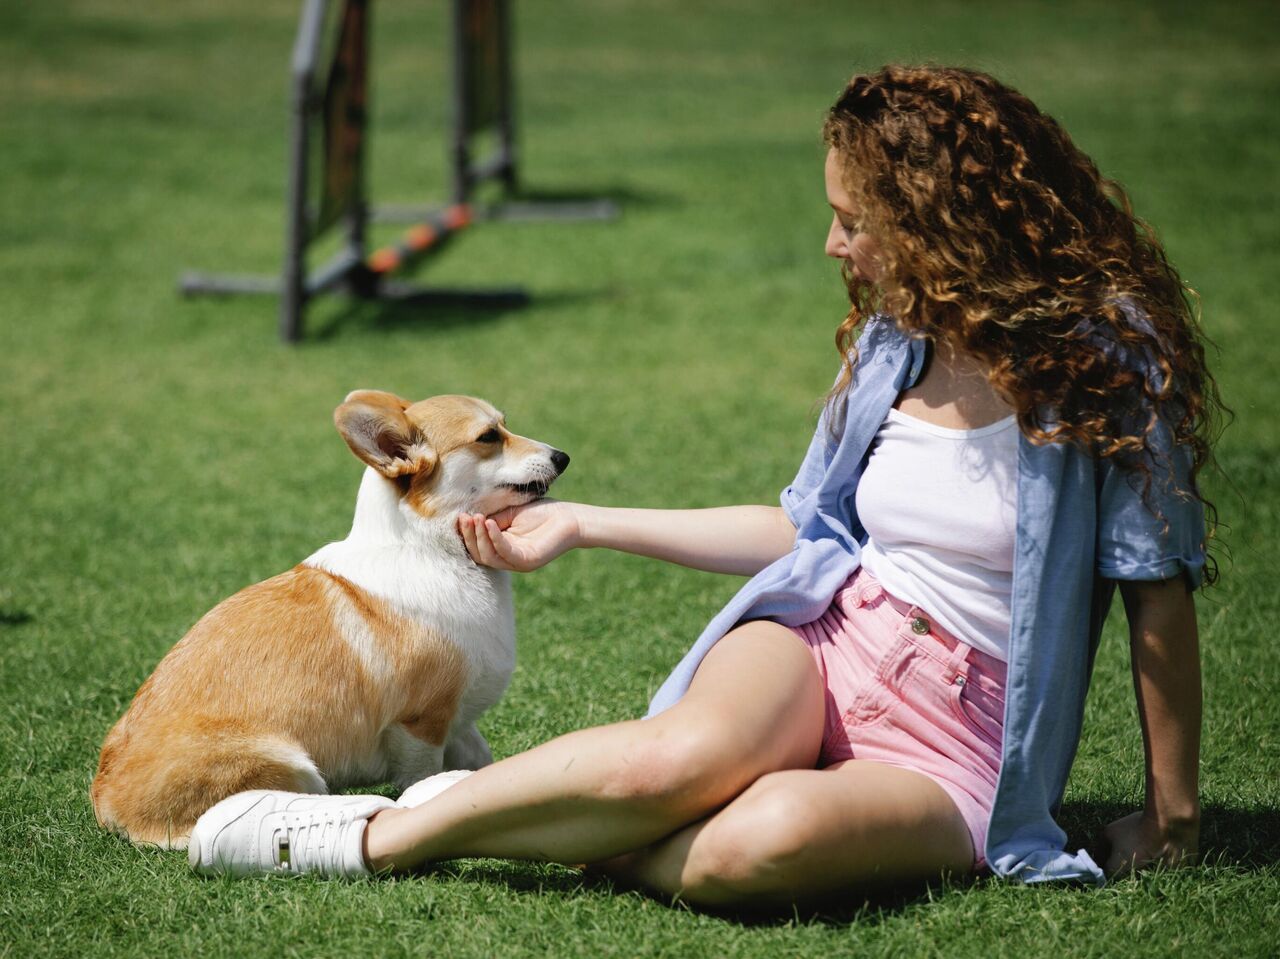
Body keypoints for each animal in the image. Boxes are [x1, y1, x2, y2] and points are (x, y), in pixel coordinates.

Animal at [92, 389, 568, 845]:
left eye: (504, 425)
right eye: (488, 437)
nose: (563, 457)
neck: (432, 549)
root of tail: (104, 799)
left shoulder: (459, 722)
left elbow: (481, 759)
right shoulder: (421, 723)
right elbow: (423, 777)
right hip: (292, 764)